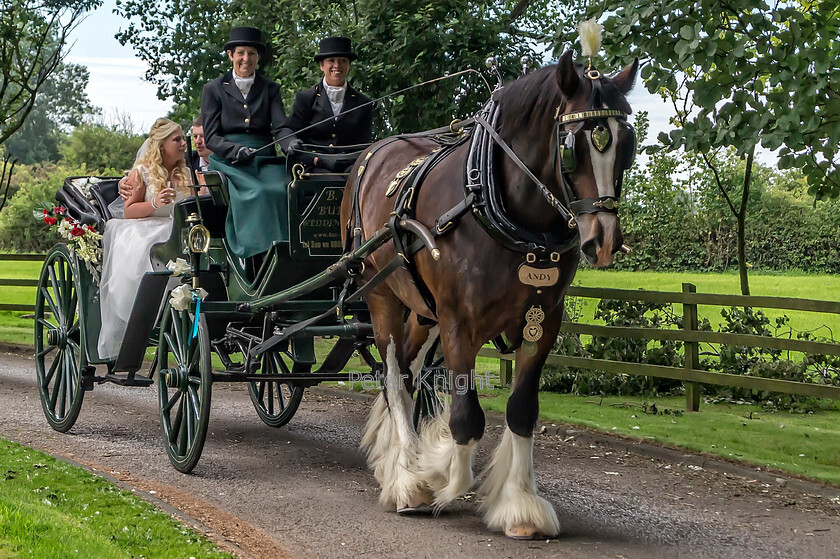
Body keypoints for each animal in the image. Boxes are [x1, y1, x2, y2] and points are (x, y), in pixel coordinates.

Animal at [340, 50, 636, 540]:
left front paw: (520, 507)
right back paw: (407, 482)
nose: (604, 240)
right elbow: (466, 416)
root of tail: (371, 153)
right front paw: (435, 473)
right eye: (573, 146)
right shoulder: (459, 322)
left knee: (407, 372)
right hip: (383, 297)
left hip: (423, 312)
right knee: (394, 377)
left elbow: (521, 410)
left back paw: (394, 463)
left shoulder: (542, 323)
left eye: (626, 143)